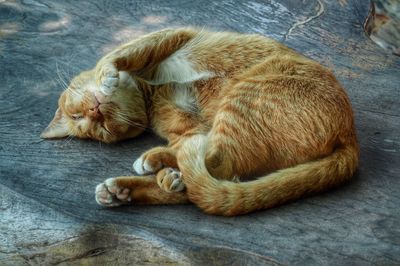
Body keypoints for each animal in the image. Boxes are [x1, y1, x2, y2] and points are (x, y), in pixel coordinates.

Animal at [41, 28, 360, 216]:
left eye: (79, 116)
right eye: (101, 129)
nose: (95, 111)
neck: (150, 87)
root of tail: (350, 136)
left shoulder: (169, 35)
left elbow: (116, 55)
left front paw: (108, 75)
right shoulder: (188, 125)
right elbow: (193, 148)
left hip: (245, 96)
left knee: (214, 170)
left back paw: (157, 173)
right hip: (238, 110)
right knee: (210, 175)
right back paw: (130, 188)